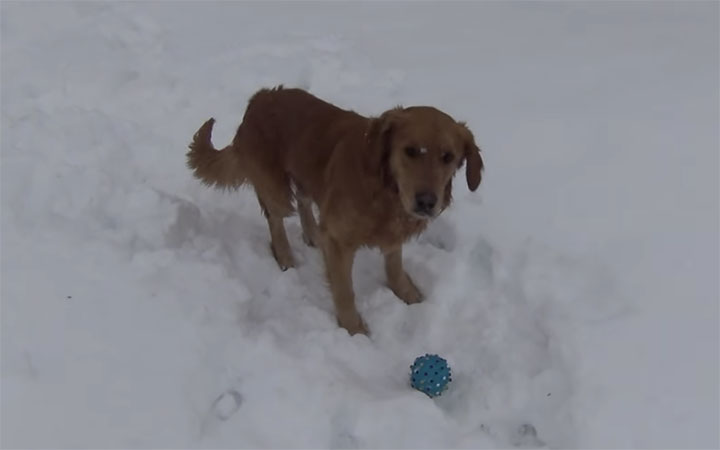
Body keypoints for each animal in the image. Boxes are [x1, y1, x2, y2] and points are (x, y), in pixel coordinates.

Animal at [188, 87, 484, 334]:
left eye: (448, 157)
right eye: (410, 151)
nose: (426, 202)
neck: (385, 189)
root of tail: (258, 98)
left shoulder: (391, 234)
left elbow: (394, 264)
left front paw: (406, 291)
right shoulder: (340, 242)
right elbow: (344, 291)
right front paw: (354, 329)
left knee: (304, 201)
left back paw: (313, 234)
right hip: (275, 188)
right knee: (276, 219)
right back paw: (285, 257)